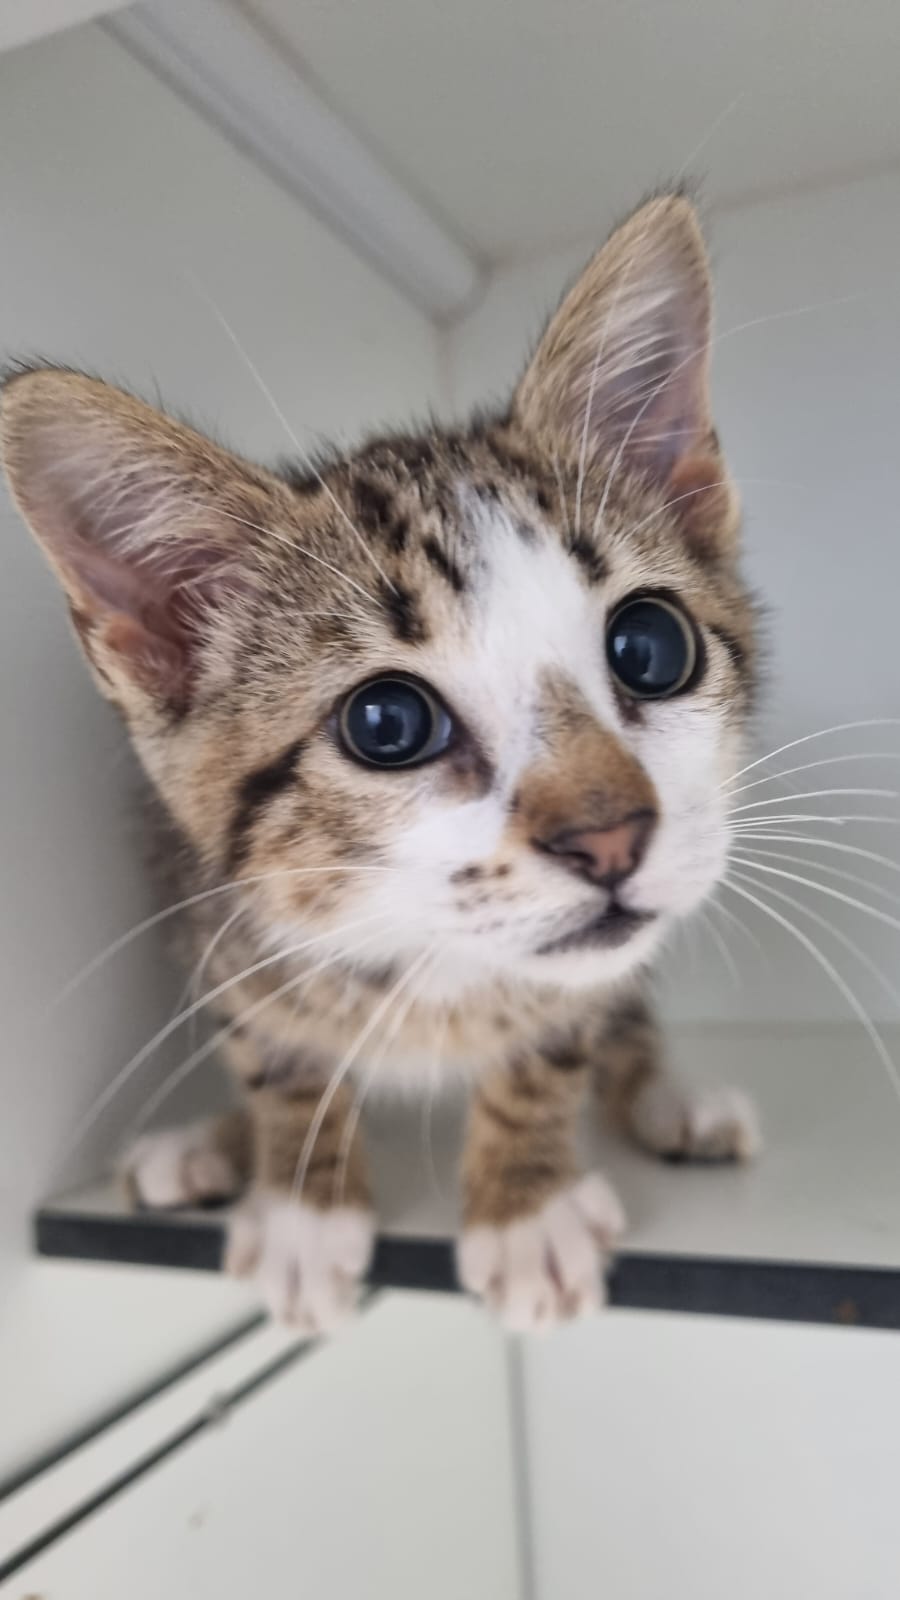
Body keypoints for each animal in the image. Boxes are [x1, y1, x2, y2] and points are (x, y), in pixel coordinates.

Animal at [1, 191, 760, 1333]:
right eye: (388, 723)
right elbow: (269, 1045)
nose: (612, 837)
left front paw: (524, 1204)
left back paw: (671, 1097)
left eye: (651, 646)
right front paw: (302, 1193)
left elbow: (566, 1027)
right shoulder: (207, 911)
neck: (429, 959)